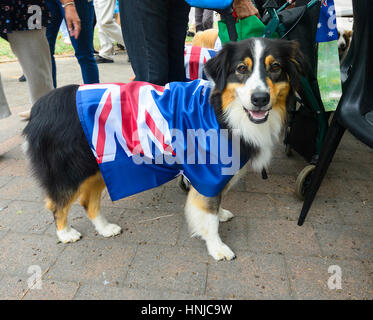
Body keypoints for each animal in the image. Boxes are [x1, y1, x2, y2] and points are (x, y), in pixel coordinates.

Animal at [22, 38, 302, 262]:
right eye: (241, 69)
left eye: (275, 68)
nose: (260, 99)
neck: (223, 113)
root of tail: (40, 107)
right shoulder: (208, 171)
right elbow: (208, 214)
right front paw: (217, 247)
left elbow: (215, 202)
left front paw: (221, 214)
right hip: (71, 172)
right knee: (57, 204)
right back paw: (65, 233)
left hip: (100, 165)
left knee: (88, 201)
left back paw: (104, 228)